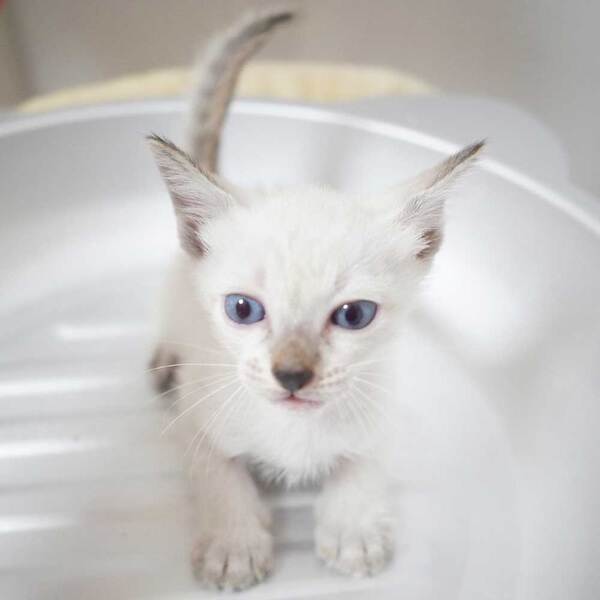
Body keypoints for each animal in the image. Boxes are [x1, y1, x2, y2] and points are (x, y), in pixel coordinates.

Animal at [147, 4, 483, 591]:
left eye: (354, 315)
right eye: (243, 309)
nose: (291, 375)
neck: (295, 432)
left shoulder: (380, 412)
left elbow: (363, 466)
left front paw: (354, 532)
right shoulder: (197, 422)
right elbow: (220, 474)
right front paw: (234, 545)